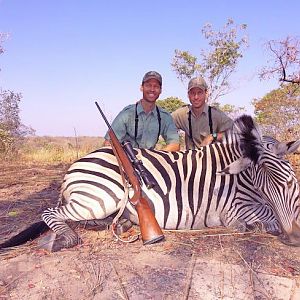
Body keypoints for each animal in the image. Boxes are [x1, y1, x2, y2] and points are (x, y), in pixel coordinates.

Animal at [0, 115, 300, 251]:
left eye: (289, 183)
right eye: (267, 184)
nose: (294, 237)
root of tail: (74, 166)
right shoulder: (232, 208)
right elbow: (265, 216)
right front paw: (255, 226)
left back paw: (119, 224)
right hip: (101, 198)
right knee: (52, 213)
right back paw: (66, 239)